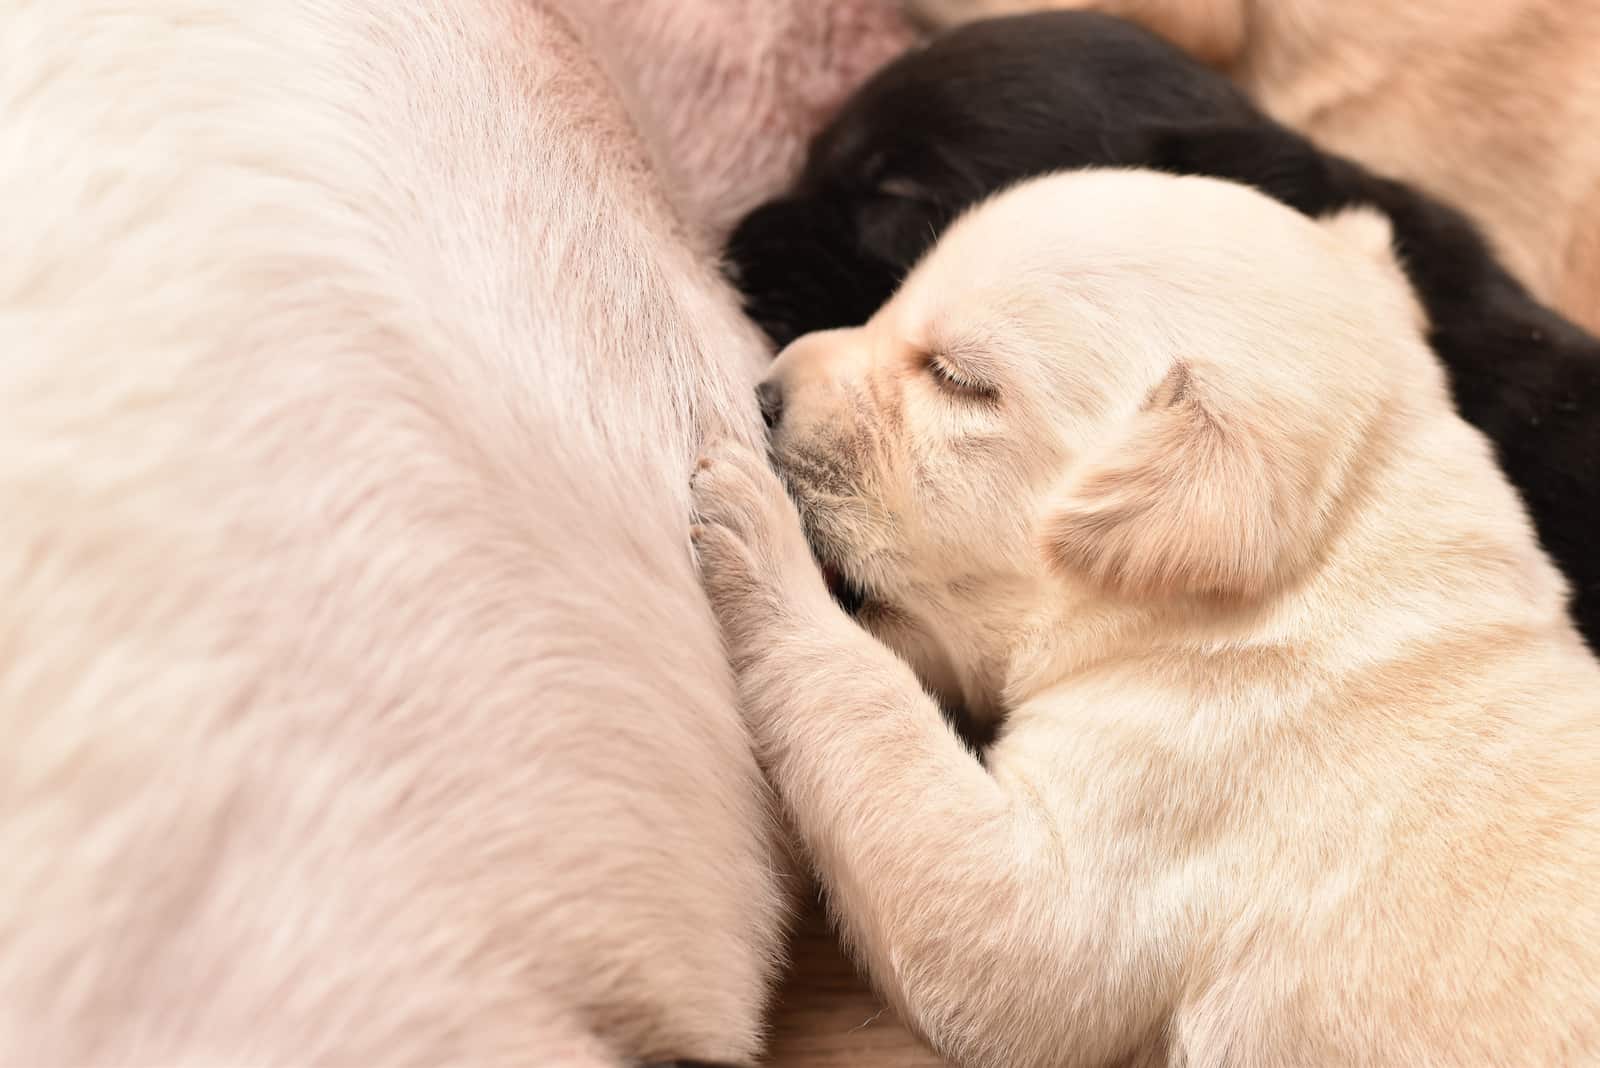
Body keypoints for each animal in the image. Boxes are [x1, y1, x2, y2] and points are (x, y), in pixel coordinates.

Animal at [691, 168, 1600, 1068]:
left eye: (957, 378)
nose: (764, 393)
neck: (1322, 559)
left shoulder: (1142, 809)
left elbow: (895, 757)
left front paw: (754, 527)